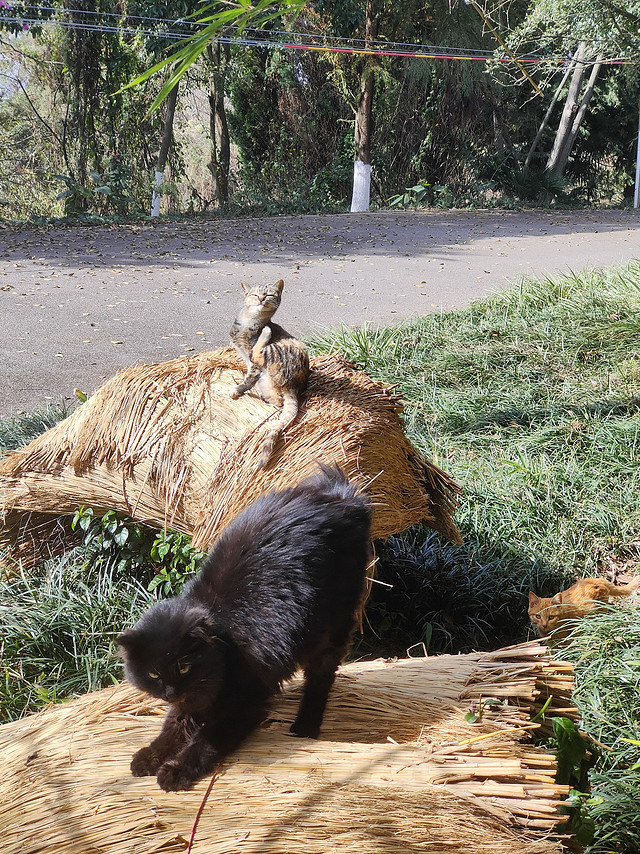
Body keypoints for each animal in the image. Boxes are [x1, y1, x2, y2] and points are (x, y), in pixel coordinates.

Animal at [117, 464, 372, 792]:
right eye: (153, 674)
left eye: (184, 666)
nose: (171, 691)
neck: (224, 644)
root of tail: (340, 497)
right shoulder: (193, 701)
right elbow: (172, 726)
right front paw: (150, 756)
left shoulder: (246, 700)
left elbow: (205, 741)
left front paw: (176, 771)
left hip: (329, 630)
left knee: (321, 679)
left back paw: (305, 727)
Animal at [230, 280, 310, 468]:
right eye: (254, 294)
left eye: (268, 294)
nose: (260, 298)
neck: (248, 322)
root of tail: (294, 387)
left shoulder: (251, 360)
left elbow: (247, 379)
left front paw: (237, 390)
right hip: (266, 384)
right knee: (279, 401)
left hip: (277, 348)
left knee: (259, 352)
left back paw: (266, 332)